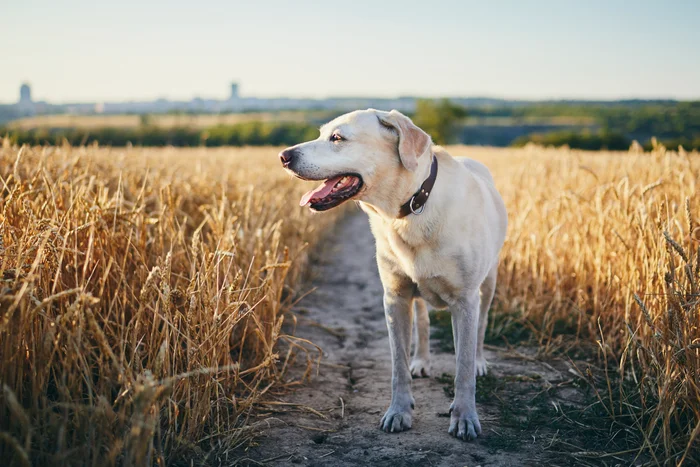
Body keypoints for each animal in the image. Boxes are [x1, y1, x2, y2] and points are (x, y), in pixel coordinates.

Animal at [280, 109, 508, 442]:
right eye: (321, 134)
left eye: (337, 138)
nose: (284, 156)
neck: (411, 208)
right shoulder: (395, 298)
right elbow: (398, 364)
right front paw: (399, 412)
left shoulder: (465, 301)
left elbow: (463, 367)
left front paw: (465, 417)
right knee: (423, 323)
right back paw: (422, 361)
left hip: (488, 283)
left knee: (481, 327)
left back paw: (480, 361)